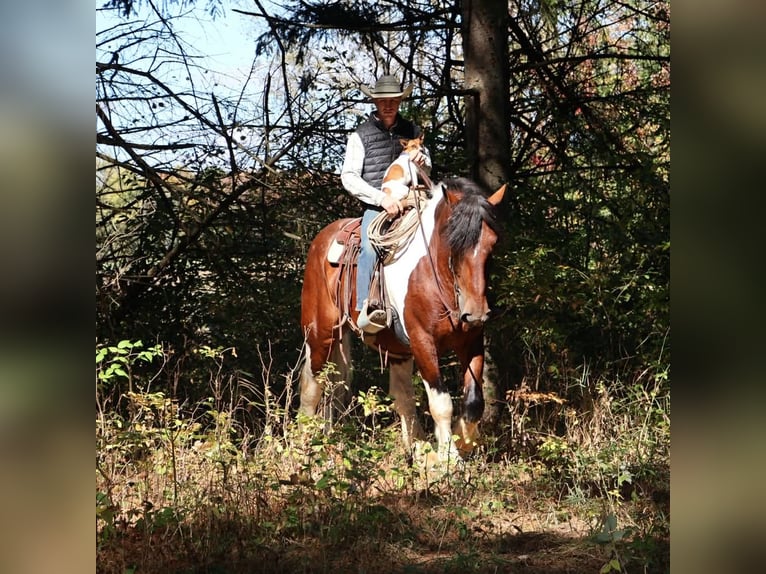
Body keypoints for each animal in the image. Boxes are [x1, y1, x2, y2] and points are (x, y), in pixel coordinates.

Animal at [298, 177, 506, 463]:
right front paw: (449, 459)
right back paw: (304, 448)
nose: (475, 313)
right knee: (313, 387)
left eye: (492, 243)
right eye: (454, 242)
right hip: (320, 336)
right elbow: (441, 403)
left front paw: (460, 444)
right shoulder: (422, 343)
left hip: (395, 350)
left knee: (402, 396)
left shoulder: (472, 341)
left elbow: (474, 402)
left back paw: (420, 452)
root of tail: (321, 240)